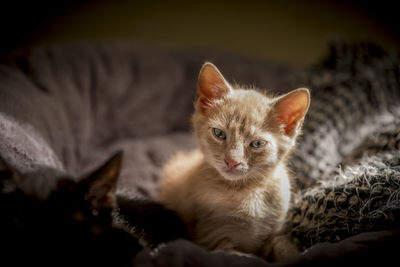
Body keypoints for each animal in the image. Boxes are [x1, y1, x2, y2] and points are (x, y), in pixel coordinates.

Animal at [158, 63, 310, 262]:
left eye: (257, 144)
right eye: (219, 133)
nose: (232, 161)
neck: (247, 190)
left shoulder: (274, 232)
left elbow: (283, 244)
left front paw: (296, 254)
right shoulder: (212, 241)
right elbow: (248, 258)